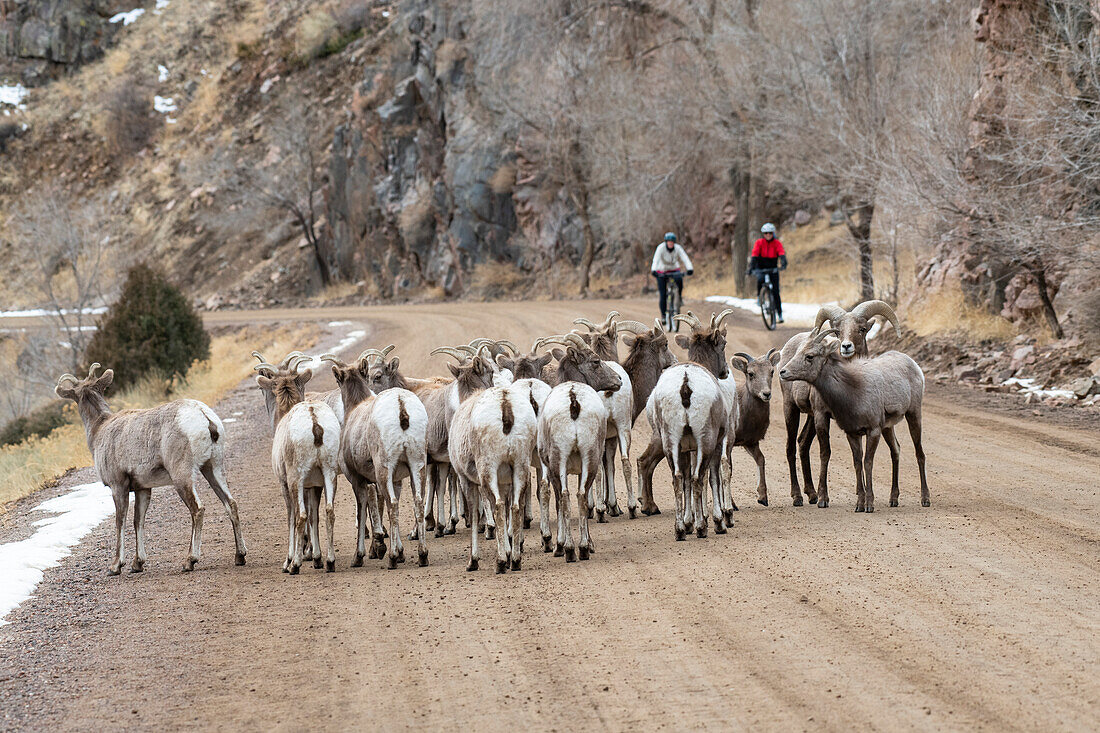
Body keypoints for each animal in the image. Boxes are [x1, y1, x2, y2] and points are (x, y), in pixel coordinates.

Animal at [56, 363, 249, 572]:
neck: (100, 429)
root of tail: (205, 418)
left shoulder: (118, 486)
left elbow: (120, 521)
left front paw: (116, 566)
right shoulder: (143, 488)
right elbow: (137, 521)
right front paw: (137, 564)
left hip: (182, 476)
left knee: (197, 509)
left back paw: (189, 560)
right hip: (213, 467)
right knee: (231, 503)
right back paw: (240, 556)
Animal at [253, 354, 338, 572]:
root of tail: (315, 422)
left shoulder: (285, 483)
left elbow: (292, 517)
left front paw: (288, 561)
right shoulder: (314, 485)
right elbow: (315, 515)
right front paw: (317, 558)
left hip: (295, 479)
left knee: (300, 516)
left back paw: (295, 566)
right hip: (329, 475)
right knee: (329, 512)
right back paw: (330, 562)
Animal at [321, 352, 426, 563]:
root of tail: (400, 405)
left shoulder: (357, 479)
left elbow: (364, 509)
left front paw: (360, 555)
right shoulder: (396, 480)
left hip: (384, 469)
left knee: (392, 504)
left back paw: (393, 558)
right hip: (418, 466)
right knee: (417, 502)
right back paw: (422, 555)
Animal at [778, 299, 897, 506]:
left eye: (862, 329)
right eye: (837, 332)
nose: (846, 346)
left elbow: (857, 455)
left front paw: (860, 495)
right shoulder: (822, 415)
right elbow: (825, 453)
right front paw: (824, 499)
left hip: (810, 417)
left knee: (803, 443)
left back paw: (811, 494)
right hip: (791, 409)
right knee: (790, 448)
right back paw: (798, 497)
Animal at [778, 323, 932, 510]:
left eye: (810, 356)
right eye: (799, 351)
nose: (783, 372)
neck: (853, 390)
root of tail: (914, 365)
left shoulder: (873, 431)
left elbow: (867, 462)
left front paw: (869, 505)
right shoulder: (852, 433)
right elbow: (857, 463)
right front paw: (859, 504)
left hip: (913, 415)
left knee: (920, 454)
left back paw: (925, 499)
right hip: (888, 427)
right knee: (896, 450)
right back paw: (893, 499)